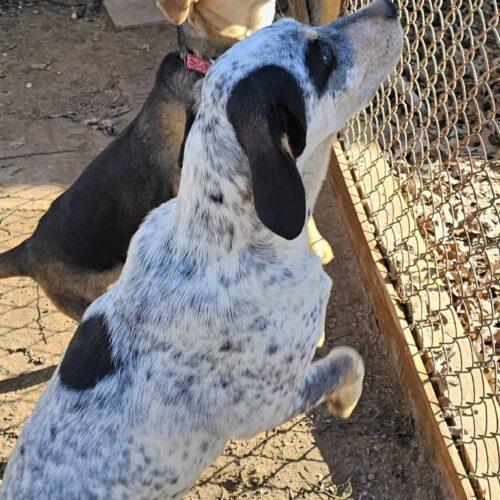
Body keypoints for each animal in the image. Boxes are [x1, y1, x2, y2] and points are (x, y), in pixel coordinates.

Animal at [0, 1, 402, 498]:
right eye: (321, 57)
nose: (390, 7)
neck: (223, 235)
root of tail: (29, 245)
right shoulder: (270, 401)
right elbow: (349, 359)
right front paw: (345, 401)